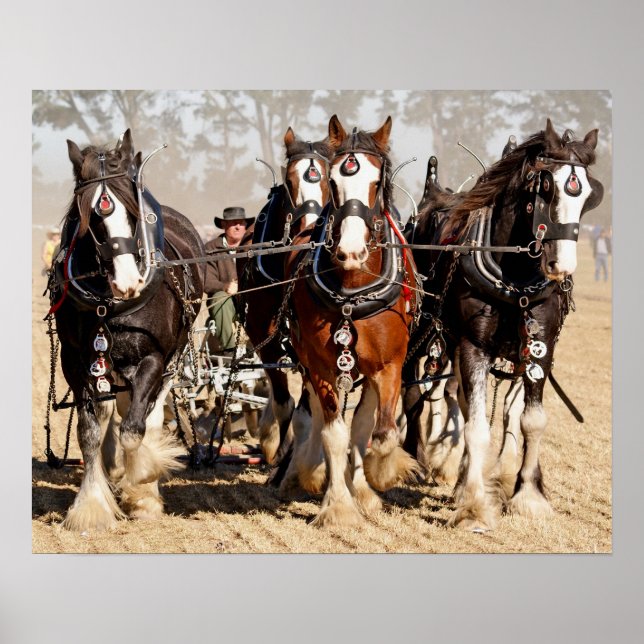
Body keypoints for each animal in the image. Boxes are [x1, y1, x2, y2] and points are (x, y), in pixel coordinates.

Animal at [47, 129, 205, 531]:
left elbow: (135, 430)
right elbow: (89, 431)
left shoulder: (152, 358)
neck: (110, 304)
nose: (128, 283)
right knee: (112, 410)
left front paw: (141, 483)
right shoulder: (76, 362)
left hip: (173, 358)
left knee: (149, 414)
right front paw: (91, 507)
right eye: (89, 217)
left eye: (134, 214)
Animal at [236, 128, 332, 473]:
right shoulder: (261, 331)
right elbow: (281, 398)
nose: (310, 230)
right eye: (289, 181)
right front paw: (279, 450)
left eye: (329, 178)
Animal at [281, 114, 420, 526]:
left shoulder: (390, 364)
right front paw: (338, 505)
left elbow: (381, 432)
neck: (352, 289)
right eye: (333, 182)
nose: (350, 252)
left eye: (378, 183)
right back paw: (312, 471)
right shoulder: (321, 365)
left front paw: (379, 474)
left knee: (364, 422)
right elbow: (334, 434)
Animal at [403, 119, 603, 532]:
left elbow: (531, 420)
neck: (517, 277)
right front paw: (474, 508)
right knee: (412, 393)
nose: (562, 265)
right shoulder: (473, 346)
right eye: (546, 187)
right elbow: (477, 426)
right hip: (422, 331)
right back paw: (407, 460)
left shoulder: (540, 348)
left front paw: (528, 496)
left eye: (589, 195)